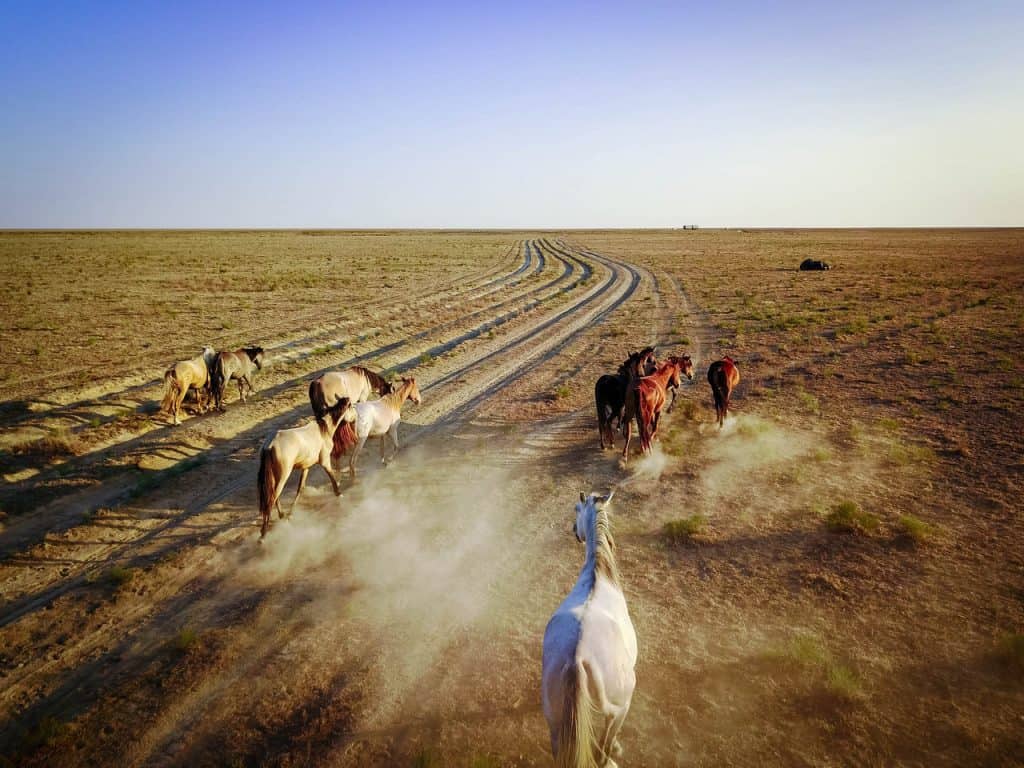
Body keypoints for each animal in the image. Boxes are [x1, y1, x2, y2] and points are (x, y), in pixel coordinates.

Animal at [256, 393, 356, 536]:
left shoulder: (306, 467)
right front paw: (339, 493)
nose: (355, 419)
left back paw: (282, 516)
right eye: (351, 406)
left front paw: (291, 514)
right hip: (283, 475)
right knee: (272, 497)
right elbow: (332, 477)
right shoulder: (325, 461)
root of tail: (269, 444)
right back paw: (264, 533)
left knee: (275, 496)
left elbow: (300, 488)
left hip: (276, 476)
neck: (324, 429)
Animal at [540, 495, 634, 765]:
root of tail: (577, 656)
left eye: (576, 510)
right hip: (621, 706)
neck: (598, 573)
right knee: (605, 744)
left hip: (555, 722)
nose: (574, 530)